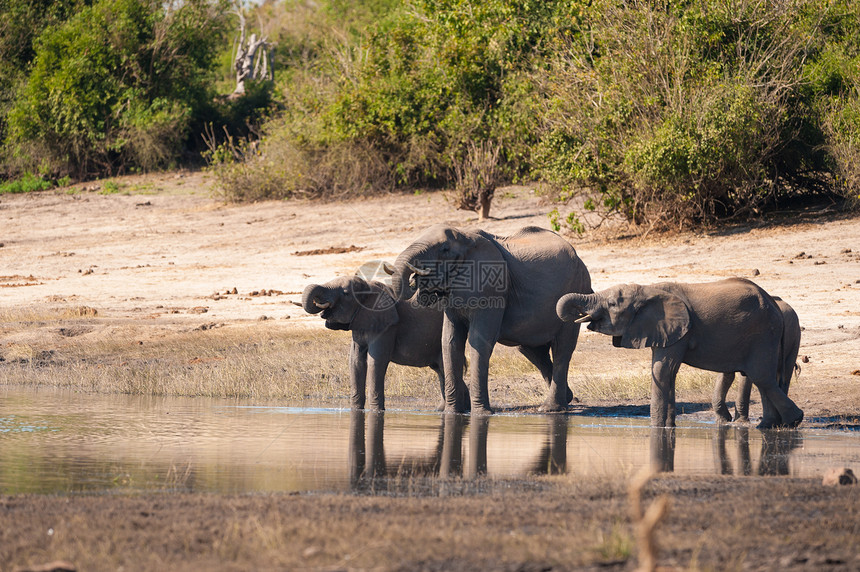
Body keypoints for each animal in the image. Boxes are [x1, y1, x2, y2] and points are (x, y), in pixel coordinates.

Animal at [390, 223, 592, 416]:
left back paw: (550, 409)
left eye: (445, 249)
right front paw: (452, 414)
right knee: (533, 351)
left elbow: (478, 341)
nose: (416, 280)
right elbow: (449, 341)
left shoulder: (491, 288)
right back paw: (568, 398)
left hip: (576, 290)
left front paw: (481, 414)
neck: (466, 236)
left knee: (562, 348)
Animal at [556, 278, 808, 428]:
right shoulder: (664, 330)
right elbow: (669, 372)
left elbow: (662, 370)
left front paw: (657, 428)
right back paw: (769, 426)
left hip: (763, 333)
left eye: (611, 304)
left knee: (762, 377)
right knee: (764, 379)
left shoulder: (679, 329)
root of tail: (775, 304)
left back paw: (792, 422)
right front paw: (668, 428)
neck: (649, 289)